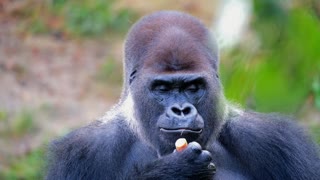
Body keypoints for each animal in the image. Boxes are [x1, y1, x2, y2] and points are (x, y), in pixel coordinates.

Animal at [47, 11, 320, 180]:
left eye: (193, 87)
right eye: (163, 89)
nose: (181, 110)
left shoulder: (280, 142)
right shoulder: (81, 152)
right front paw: (173, 171)